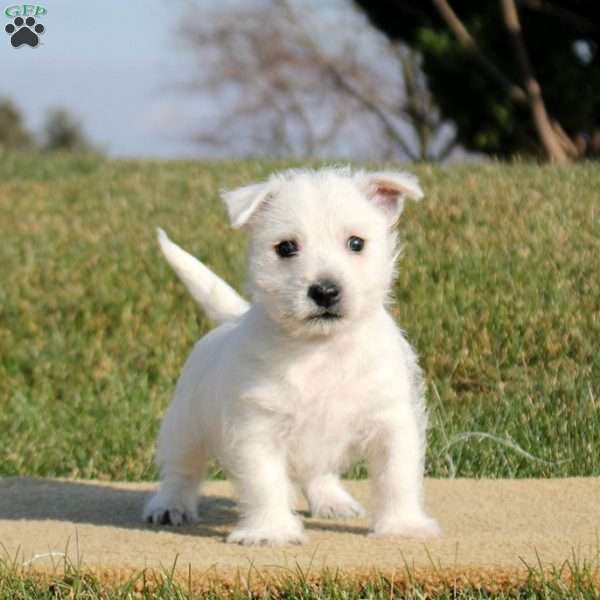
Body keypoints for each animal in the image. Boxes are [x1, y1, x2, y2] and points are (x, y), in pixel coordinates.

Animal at [143, 166, 438, 548]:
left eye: (356, 243)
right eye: (286, 247)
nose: (325, 291)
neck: (321, 350)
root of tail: (231, 318)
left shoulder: (392, 421)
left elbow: (397, 477)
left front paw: (404, 525)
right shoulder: (259, 428)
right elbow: (265, 482)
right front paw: (271, 532)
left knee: (318, 472)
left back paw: (333, 500)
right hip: (185, 424)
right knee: (181, 469)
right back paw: (170, 506)